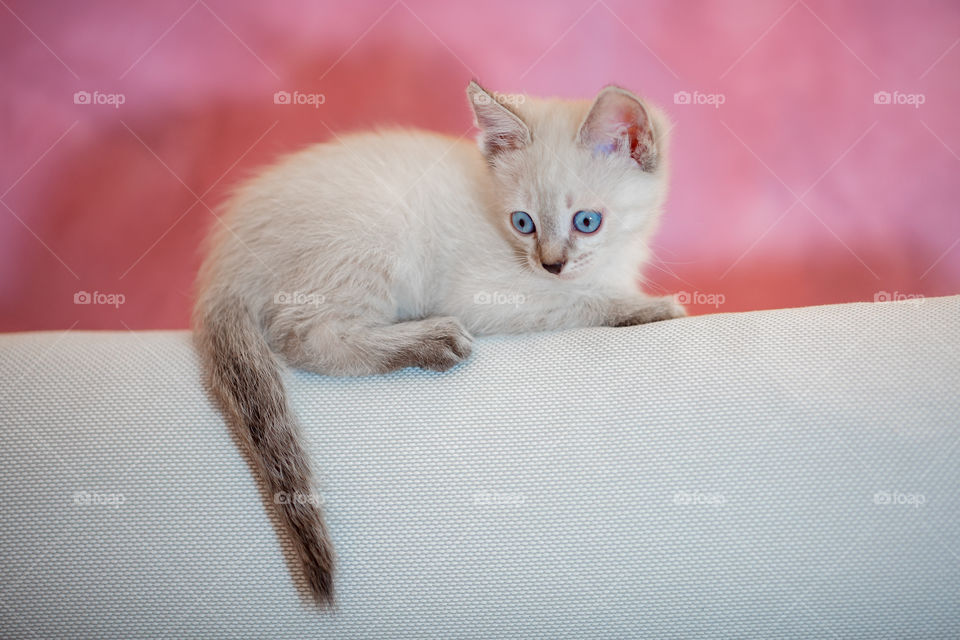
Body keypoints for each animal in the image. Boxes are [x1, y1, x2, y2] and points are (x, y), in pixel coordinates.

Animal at [193, 81, 684, 604]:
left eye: (587, 221)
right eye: (523, 223)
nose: (551, 263)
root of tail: (222, 265)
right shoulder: (487, 296)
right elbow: (580, 301)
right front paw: (651, 308)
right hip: (374, 237)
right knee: (305, 336)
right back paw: (433, 340)